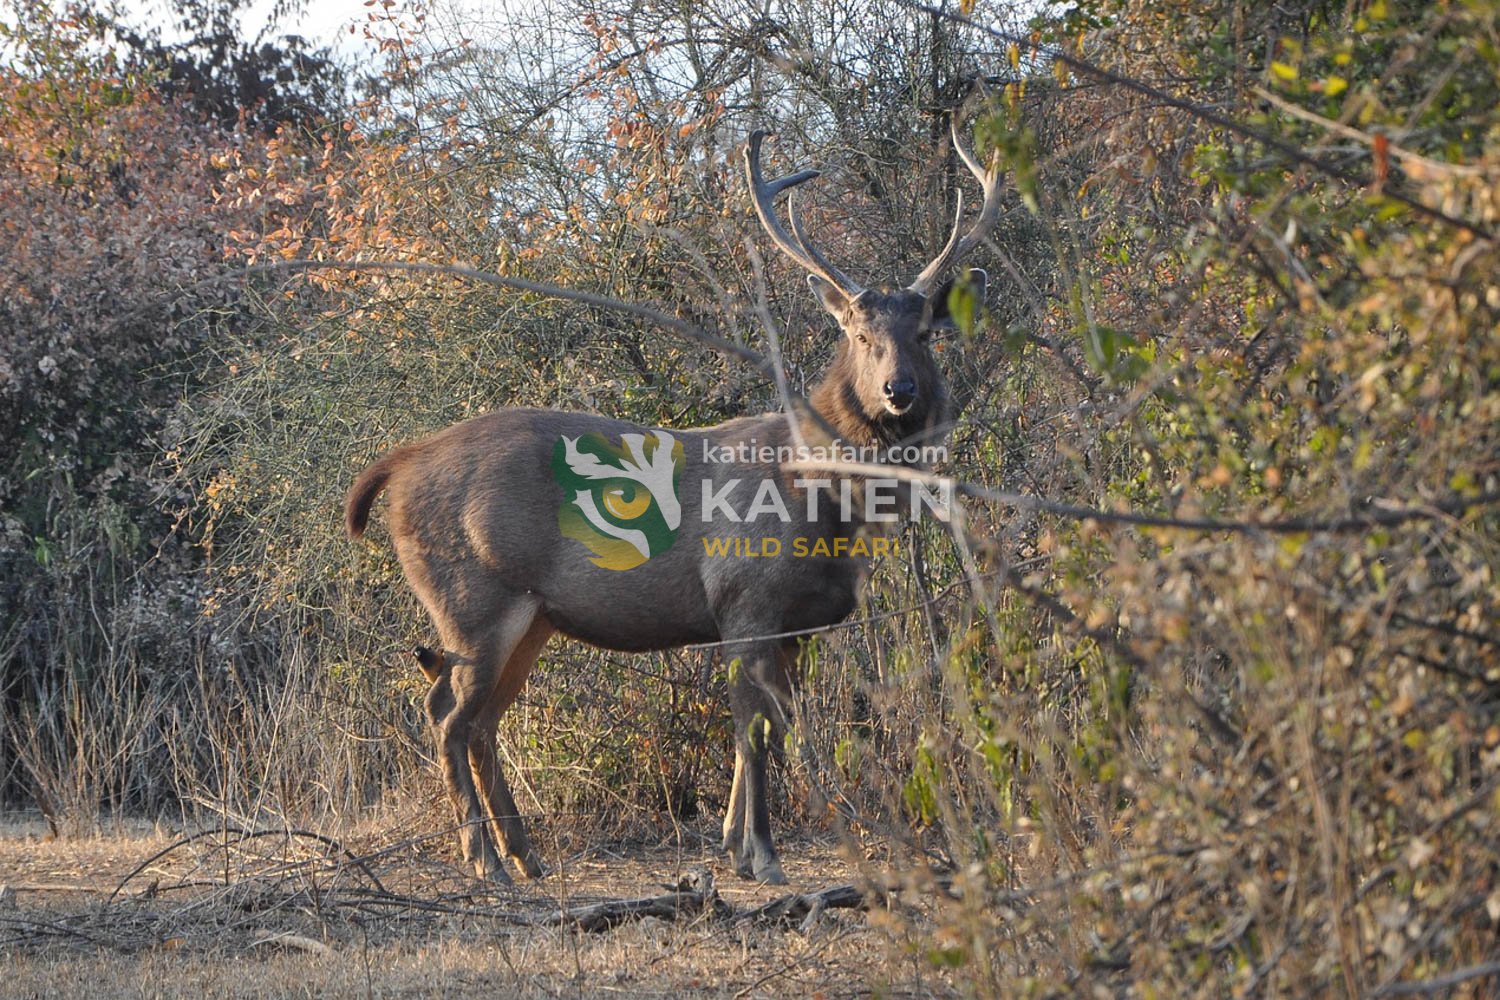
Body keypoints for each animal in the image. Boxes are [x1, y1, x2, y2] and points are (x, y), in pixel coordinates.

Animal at [344, 119, 1003, 885]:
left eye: (923, 333)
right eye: (861, 335)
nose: (901, 391)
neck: (821, 503)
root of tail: (400, 465)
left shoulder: (798, 625)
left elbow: (767, 731)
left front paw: (734, 843)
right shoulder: (744, 598)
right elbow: (754, 733)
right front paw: (762, 855)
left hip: (531, 616)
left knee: (478, 719)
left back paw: (526, 855)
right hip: (473, 595)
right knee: (446, 712)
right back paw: (486, 861)